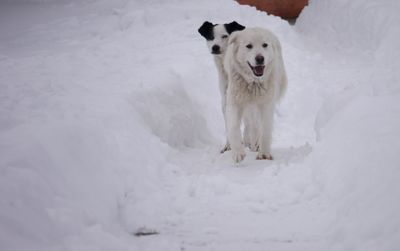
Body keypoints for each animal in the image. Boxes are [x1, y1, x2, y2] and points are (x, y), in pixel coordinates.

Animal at [198, 21, 245, 153]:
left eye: (224, 36)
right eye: (211, 37)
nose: (215, 47)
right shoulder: (225, 99)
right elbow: (229, 123)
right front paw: (229, 145)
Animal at [223, 27, 286, 163]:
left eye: (264, 45)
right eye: (249, 46)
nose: (260, 58)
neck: (254, 84)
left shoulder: (266, 104)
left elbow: (265, 129)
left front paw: (264, 154)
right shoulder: (235, 103)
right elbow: (233, 127)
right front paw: (238, 152)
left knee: (255, 125)